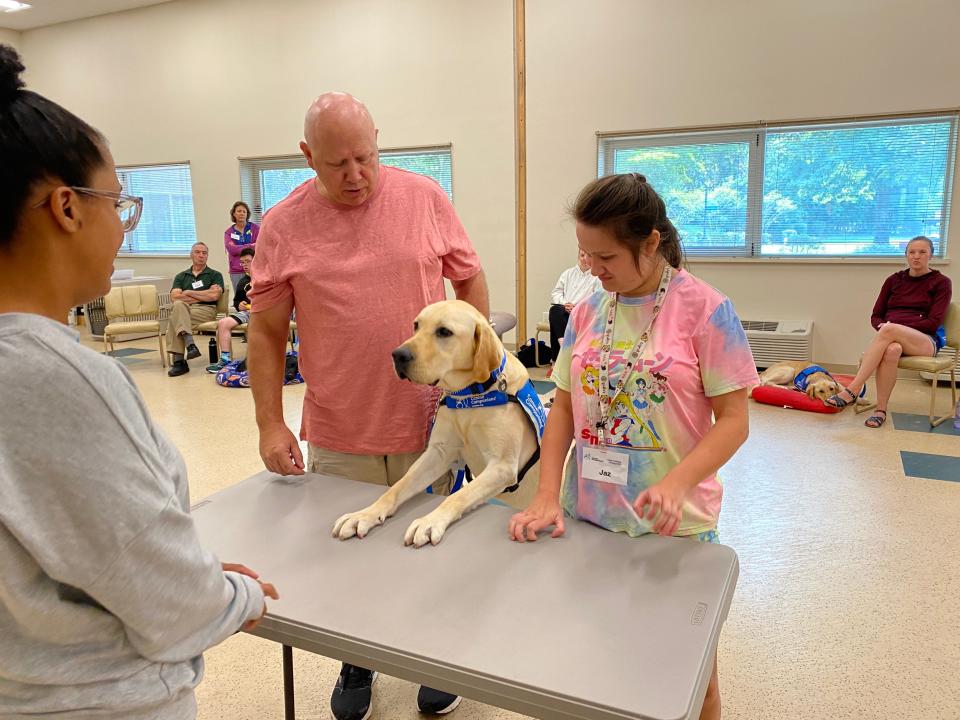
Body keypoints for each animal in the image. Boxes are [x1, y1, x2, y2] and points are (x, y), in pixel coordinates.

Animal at [330, 300, 540, 544]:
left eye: (444, 332)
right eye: (416, 325)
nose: (397, 354)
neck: (469, 397)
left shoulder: (503, 466)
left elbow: (458, 496)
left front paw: (430, 521)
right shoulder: (438, 453)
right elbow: (397, 486)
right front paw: (364, 514)